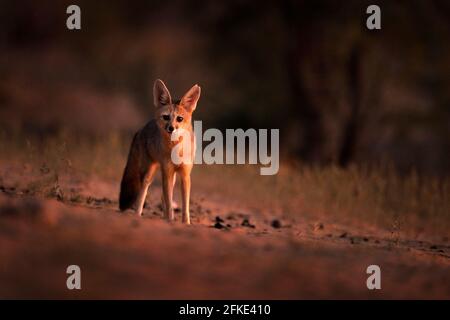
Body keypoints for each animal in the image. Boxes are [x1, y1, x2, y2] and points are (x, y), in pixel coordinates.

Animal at [119, 79, 200, 225]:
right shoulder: (167, 172)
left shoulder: (185, 175)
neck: (176, 149)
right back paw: (138, 215)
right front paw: (170, 220)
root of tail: (142, 128)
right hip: (149, 174)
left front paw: (185, 223)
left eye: (179, 119)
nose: (171, 128)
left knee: (163, 198)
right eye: (166, 117)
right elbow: (169, 203)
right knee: (142, 194)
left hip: (171, 177)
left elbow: (184, 206)